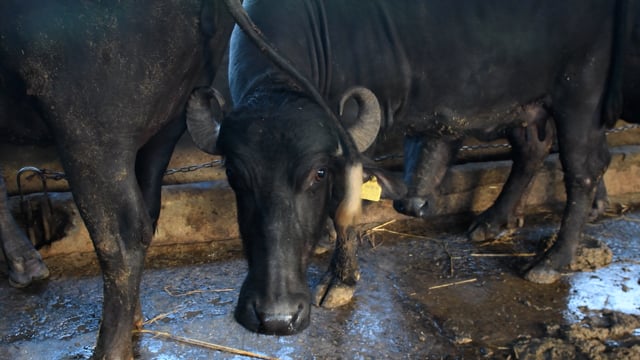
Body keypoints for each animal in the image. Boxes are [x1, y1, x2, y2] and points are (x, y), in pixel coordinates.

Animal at [0, 1, 235, 358]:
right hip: (172, 119)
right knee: (147, 212)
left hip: (90, 126)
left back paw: (108, 349)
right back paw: (134, 320)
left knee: (121, 236)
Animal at [189, 0, 632, 338]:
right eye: (234, 175)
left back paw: (551, 261)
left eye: (318, 173)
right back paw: (493, 221)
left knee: (584, 169)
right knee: (532, 149)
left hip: (580, 93)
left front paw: (340, 281)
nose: (277, 318)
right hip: (525, 102)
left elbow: (346, 210)